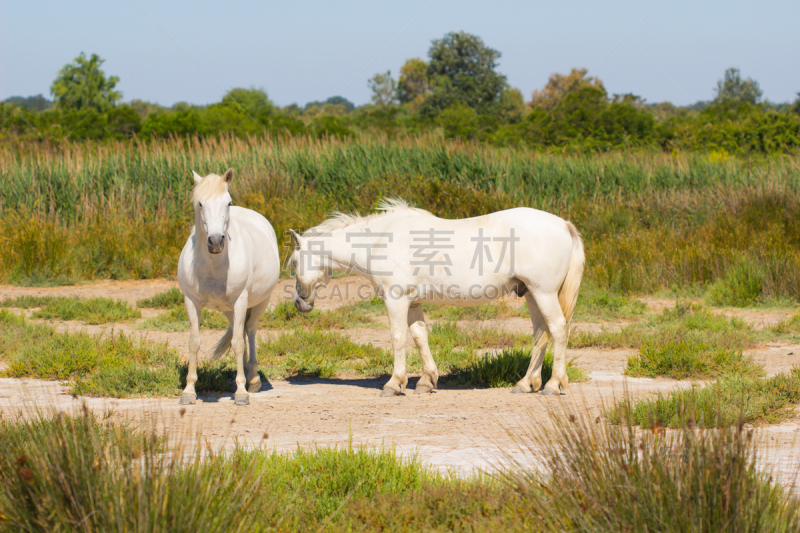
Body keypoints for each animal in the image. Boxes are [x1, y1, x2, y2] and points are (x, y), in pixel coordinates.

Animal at [178, 168, 282, 406]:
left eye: (228, 203)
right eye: (200, 203)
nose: (216, 241)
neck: (214, 266)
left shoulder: (241, 301)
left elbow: (238, 344)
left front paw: (241, 392)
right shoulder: (191, 302)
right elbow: (194, 342)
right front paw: (188, 391)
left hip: (260, 302)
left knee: (249, 331)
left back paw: (252, 378)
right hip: (228, 310)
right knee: (239, 331)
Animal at [290, 198, 584, 394]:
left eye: (293, 262)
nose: (300, 303)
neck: (380, 240)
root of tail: (564, 225)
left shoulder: (396, 299)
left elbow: (398, 338)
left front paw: (394, 383)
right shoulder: (413, 302)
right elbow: (420, 337)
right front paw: (426, 381)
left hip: (543, 293)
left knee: (558, 329)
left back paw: (553, 384)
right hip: (532, 294)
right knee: (541, 334)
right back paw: (526, 384)